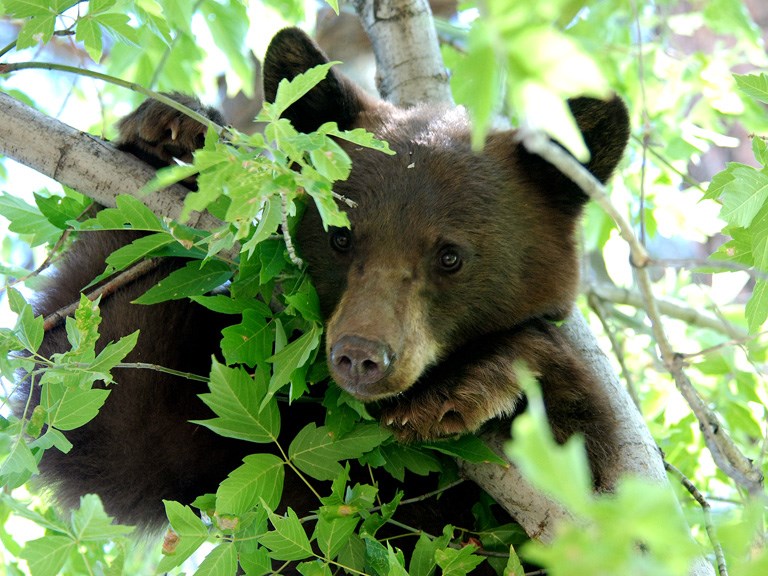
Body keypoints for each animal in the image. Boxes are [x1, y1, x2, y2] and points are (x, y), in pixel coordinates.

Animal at [13, 25, 632, 564]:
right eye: (340, 236)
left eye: (450, 256)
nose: (361, 354)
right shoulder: (252, 430)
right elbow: (110, 422)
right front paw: (172, 137)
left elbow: (589, 493)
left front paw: (474, 381)